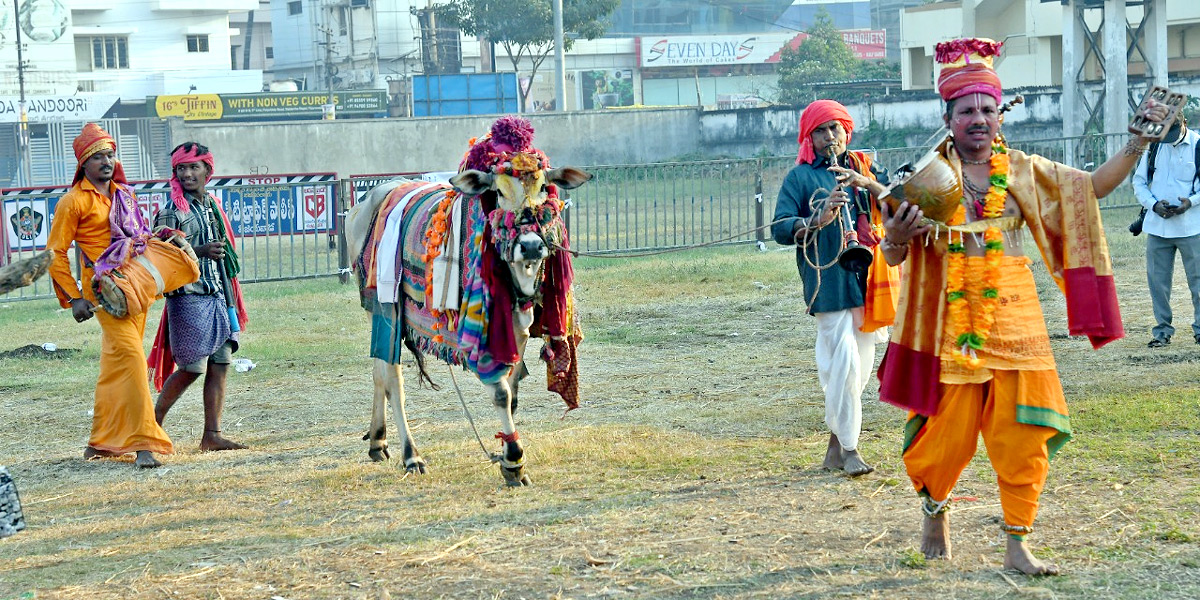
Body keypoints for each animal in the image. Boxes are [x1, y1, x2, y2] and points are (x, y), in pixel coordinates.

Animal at [345, 117, 592, 487]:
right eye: (499, 192)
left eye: (544, 188)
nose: (532, 246)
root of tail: (366, 201)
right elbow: (501, 393)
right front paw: (514, 461)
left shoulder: (519, 327)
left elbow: (512, 391)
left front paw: (507, 456)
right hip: (385, 308)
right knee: (392, 379)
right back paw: (411, 454)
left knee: (378, 372)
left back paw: (378, 439)